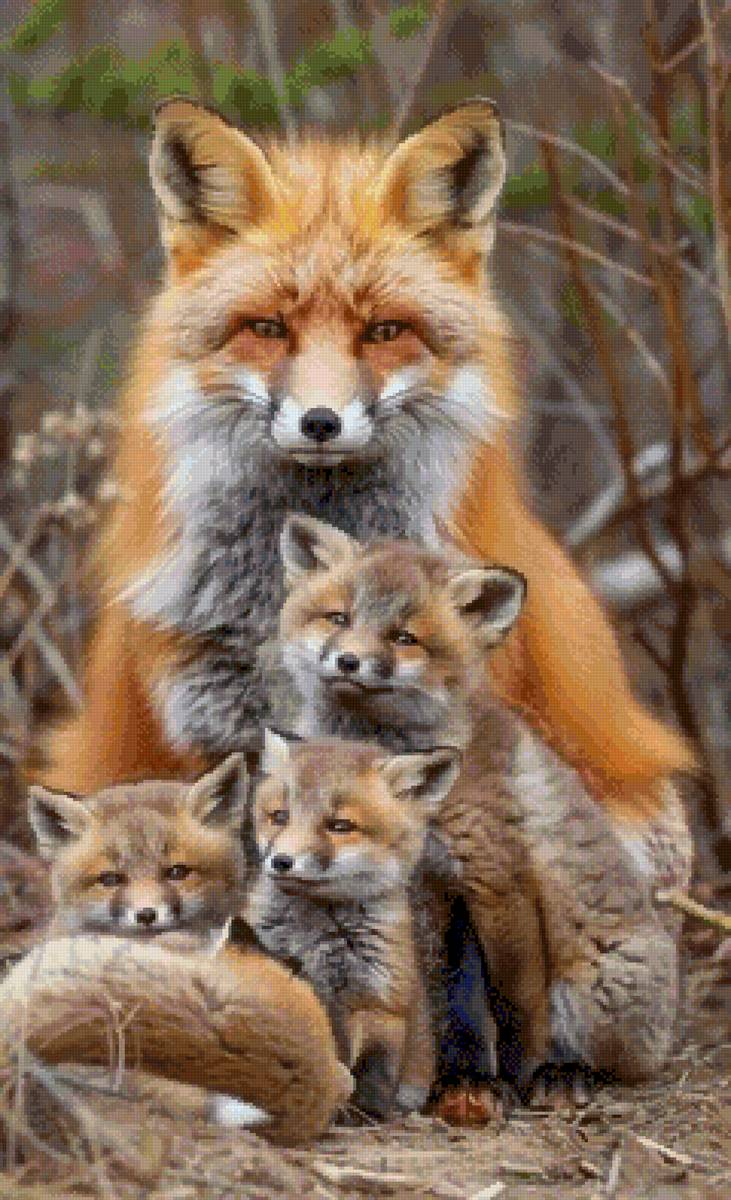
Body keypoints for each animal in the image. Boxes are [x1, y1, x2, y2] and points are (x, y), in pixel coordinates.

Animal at [247, 730, 461, 1119]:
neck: (314, 936)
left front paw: (364, 1114)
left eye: (340, 826)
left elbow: (372, 1073)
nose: (281, 861)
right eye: (280, 816)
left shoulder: (377, 1001)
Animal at [275, 515, 686, 1101]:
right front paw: (455, 1079)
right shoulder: (426, 890)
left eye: (404, 638)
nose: (349, 660)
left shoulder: (494, 872)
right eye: (339, 618)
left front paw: (519, 1077)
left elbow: (516, 1004)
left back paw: (566, 1071)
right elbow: (445, 1003)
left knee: (619, 1062)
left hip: (594, 987)